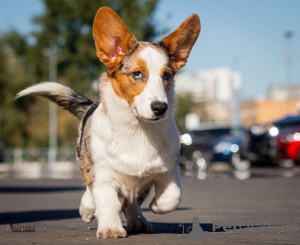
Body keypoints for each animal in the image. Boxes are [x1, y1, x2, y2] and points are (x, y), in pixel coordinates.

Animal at [15, 7, 199, 237]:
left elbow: (171, 197)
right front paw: (111, 227)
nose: (160, 108)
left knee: (132, 202)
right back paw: (88, 207)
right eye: (137, 74)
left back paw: (138, 220)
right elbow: (108, 202)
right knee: (92, 191)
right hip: (86, 161)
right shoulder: (103, 175)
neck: (138, 128)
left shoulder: (169, 170)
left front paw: (156, 205)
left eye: (167, 75)